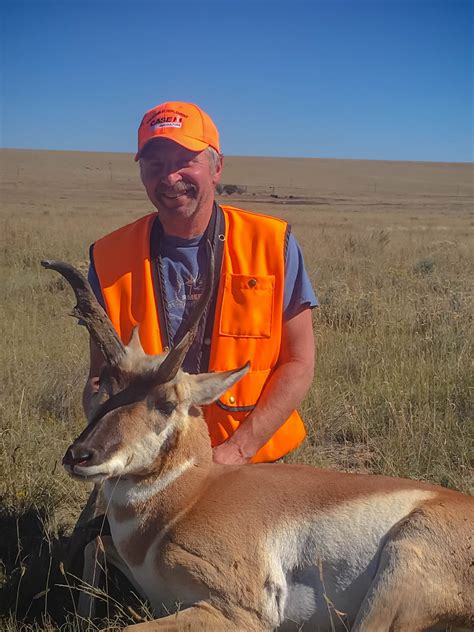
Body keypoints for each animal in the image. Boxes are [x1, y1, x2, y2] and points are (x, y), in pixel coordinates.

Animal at [42, 258, 472, 632]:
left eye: (166, 404)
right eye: (106, 387)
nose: (79, 456)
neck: (189, 497)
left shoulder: (238, 612)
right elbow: (94, 546)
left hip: (396, 577)